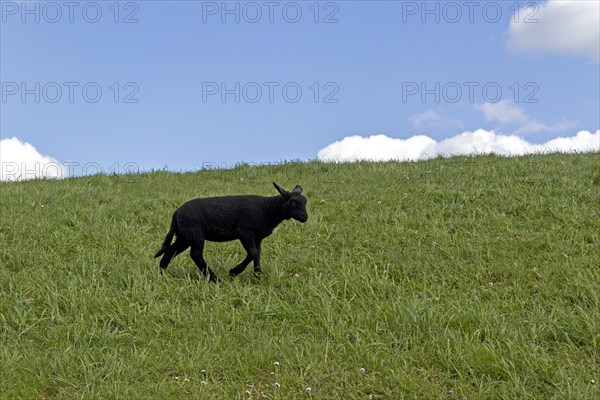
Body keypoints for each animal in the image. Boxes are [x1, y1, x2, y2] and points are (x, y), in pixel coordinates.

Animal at [154, 183, 310, 282]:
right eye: (293, 203)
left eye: (305, 202)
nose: (305, 217)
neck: (267, 209)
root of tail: (176, 213)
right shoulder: (245, 232)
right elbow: (252, 253)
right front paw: (234, 272)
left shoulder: (258, 237)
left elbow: (257, 254)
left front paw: (258, 275)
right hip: (195, 233)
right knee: (195, 254)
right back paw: (215, 279)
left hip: (185, 236)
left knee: (171, 250)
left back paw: (162, 273)